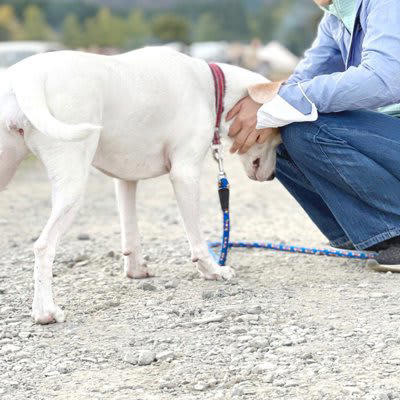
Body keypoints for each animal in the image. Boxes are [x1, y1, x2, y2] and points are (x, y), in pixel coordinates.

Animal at [0, 48, 282, 324]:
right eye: (275, 137)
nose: (271, 177)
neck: (211, 87)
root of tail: (24, 77)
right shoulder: (185, 174)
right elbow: (197, 240)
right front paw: (212, 270)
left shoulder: (125, 180)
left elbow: (131, 232)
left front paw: (136, 271)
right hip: (73, 184)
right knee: (44, 245)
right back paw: (45, 312)